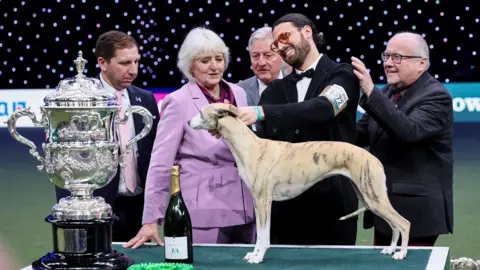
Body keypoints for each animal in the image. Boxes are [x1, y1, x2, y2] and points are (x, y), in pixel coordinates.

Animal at [188, 102, 408, 262]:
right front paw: (254, 253)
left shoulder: (264, 201)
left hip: (374, 197)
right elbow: (259, 234)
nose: (188, 122)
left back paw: (401, 253)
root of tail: (374, 158)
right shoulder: (257, 202)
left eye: (200, 112)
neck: (249, 146)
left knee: (404, 223)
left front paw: (258, 257)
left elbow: (264, 234)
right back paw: (390, 249)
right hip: (369, 198)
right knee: (394, 225)